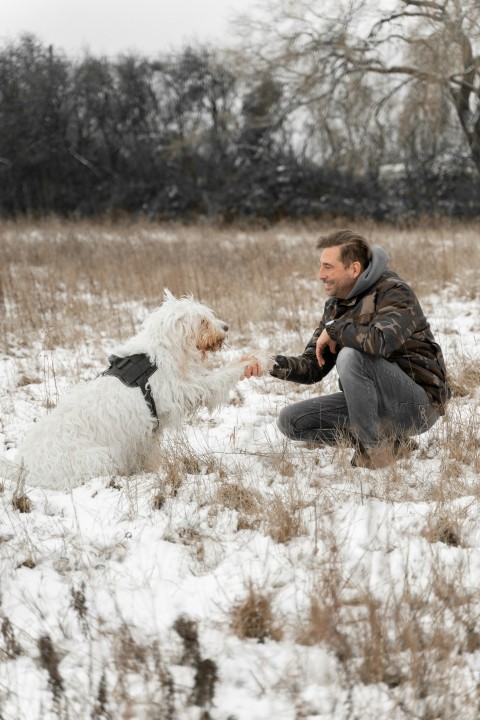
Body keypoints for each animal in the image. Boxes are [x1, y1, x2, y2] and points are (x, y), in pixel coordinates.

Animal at [0, 292, 270, 490]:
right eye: (203, 320)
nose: (226, 327)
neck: (161, 352)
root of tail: (22, 467)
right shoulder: (186, 390)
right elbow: (219, 377)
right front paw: (256, 360)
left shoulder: (148, 433)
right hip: (100, 458)